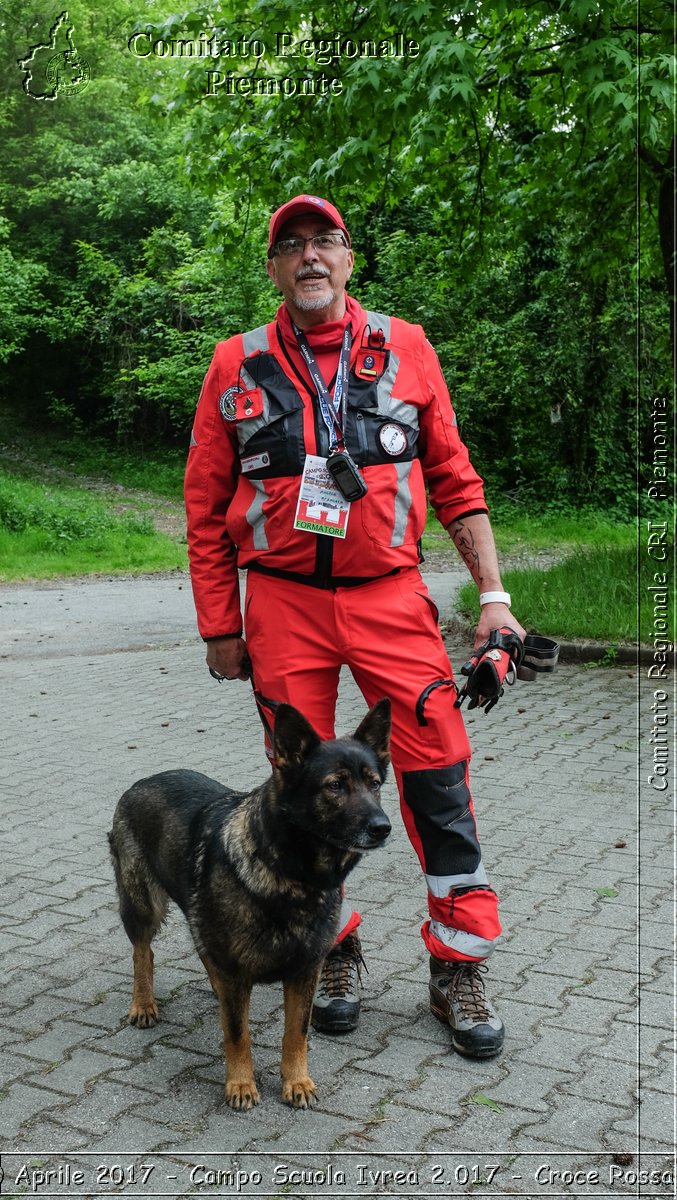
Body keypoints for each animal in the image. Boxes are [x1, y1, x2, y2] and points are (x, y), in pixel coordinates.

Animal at [109, 700, 393, 1108]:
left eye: (374, 784)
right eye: (335, 785)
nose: (383, 828)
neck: (290, 874)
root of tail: (141, 783)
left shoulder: (305, 971)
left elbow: (296, 1033)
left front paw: (296, 1081)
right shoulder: (235, 969)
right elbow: (237, 1032)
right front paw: (241, 1083)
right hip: (144, 906)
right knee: (143, 951)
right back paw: (144, 1003)